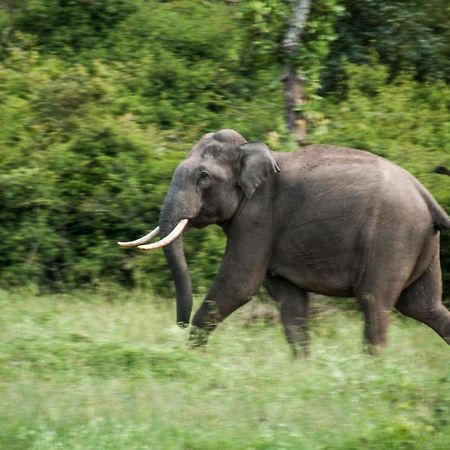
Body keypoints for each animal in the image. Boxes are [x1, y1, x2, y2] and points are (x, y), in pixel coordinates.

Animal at [118, 129, 450, 356]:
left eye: (203, 177)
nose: (178, 328)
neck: (253, 151)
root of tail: (427, 196)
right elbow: (288, 298)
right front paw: (303, 366)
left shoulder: (259, 218)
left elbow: (238, 285)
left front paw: (193, 357)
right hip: (418, 243)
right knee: (424, 307)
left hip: (392, 238)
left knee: (375, 302)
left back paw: (371, 370)